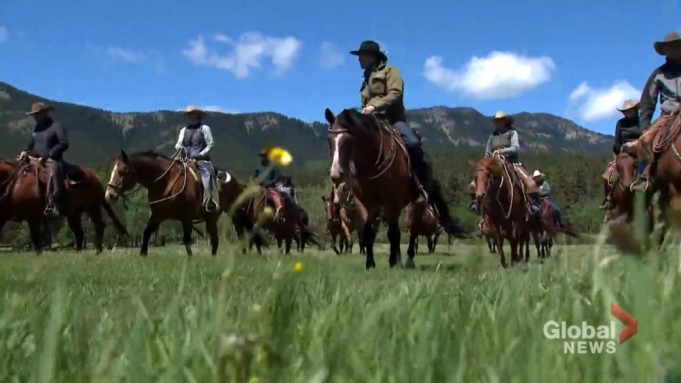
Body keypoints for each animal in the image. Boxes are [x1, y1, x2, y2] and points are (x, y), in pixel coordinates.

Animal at [322, 108, 462, 270]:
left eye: (349, 140)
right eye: (329, 139)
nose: (336, 174)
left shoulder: (392, 201)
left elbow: (393, 234)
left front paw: (393, 262)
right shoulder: (369, 204)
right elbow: (369, 232)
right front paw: (370, 263)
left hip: (416, 203)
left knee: (412, 232)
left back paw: (408, 259)